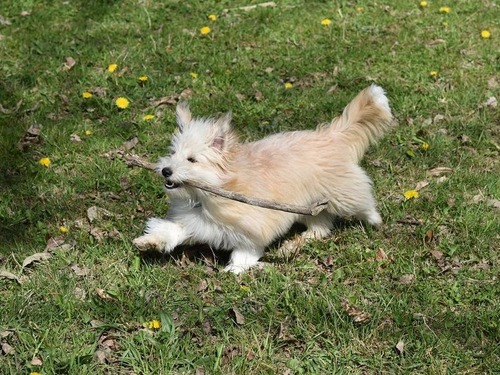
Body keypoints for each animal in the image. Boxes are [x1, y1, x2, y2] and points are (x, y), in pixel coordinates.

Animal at [133, 84, 394, 274]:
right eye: (173, 153)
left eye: (191, 160)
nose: (166, 170)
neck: (208, 196)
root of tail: (330, 135)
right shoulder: (196, 223)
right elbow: (172, 231)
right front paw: (149, 241)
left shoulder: (255, 227)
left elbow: (245, 251)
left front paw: (235, 269)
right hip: (309, 205)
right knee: (321, 227)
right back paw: (295, 244)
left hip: (342, 194)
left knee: (361, 202)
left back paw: (374, 220)